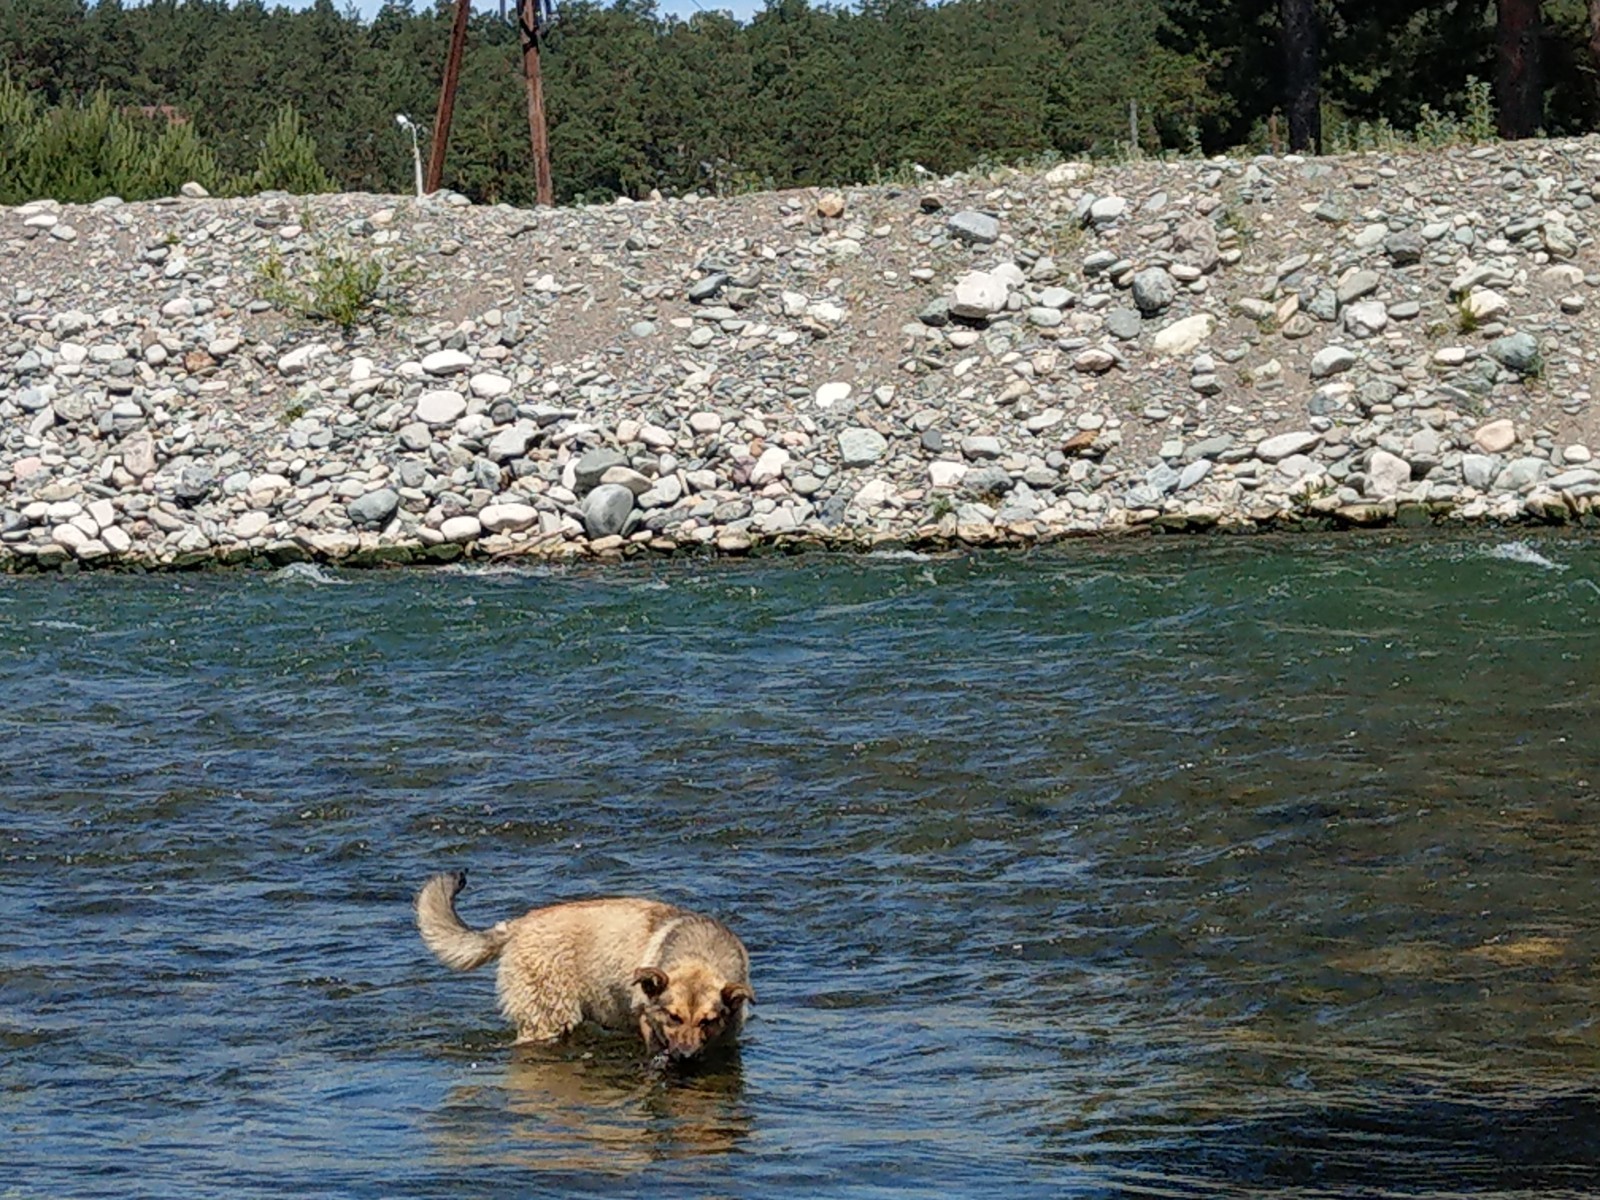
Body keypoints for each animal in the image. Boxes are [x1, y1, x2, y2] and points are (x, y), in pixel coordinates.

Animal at [419, 876, 755, 1062]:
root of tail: (516, 926)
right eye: (673, 1017)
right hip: (546, 1020)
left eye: (708, 1021)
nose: (685, 1057)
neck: (700, 953)